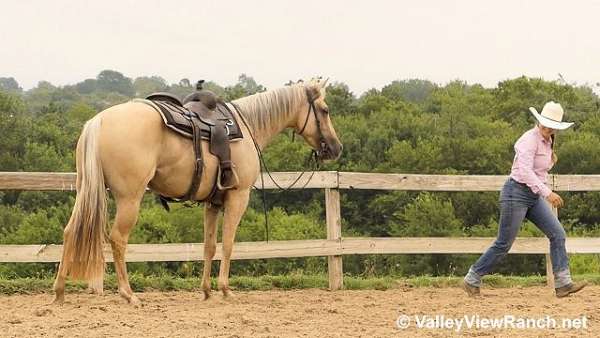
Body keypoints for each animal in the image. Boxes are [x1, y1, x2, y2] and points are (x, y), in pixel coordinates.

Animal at [52, 78, 342, 304]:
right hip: (129, 199)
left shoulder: (213, 203)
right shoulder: (238, 197)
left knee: (70, 232)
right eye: (325, 110)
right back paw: (128, 294)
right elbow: (228, 244)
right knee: (117, 239)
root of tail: (98, 121)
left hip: (86, 192)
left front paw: (206, 291)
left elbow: (209, 246)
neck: (247, 127)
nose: (336, 148)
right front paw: (225, 290)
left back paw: (59, 292)